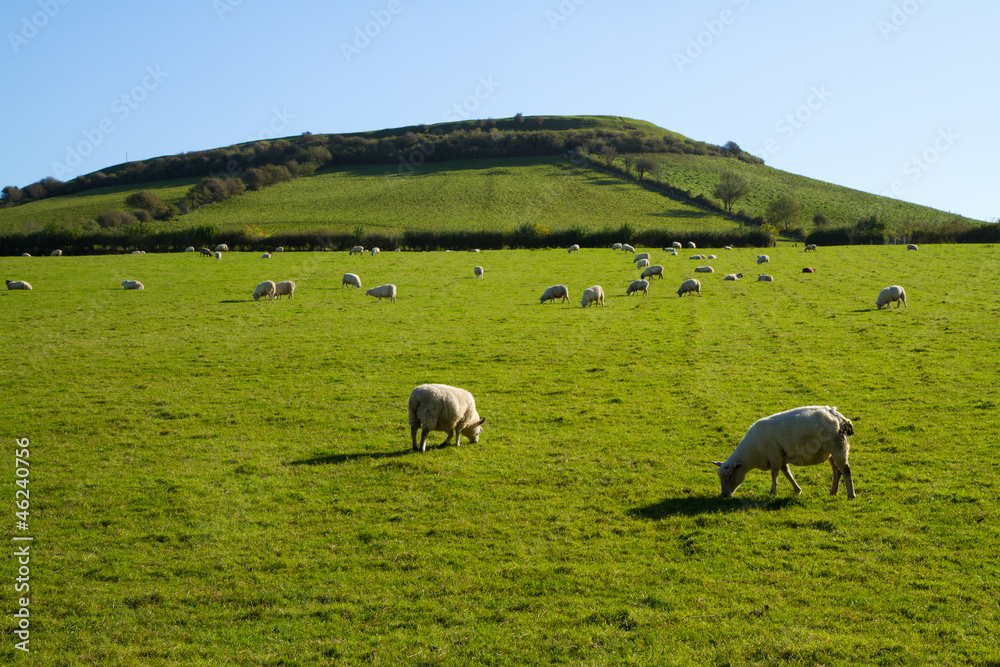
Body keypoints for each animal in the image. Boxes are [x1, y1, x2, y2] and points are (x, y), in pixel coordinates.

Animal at [716, 404, 856, 498]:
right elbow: (787, 474)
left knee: (846, 470)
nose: (724, 495)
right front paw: (797, 490)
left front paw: (772, 492)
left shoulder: (775, 457)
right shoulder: (781, 458)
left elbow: (774, 474)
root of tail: (837, 415)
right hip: (831, 451)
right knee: (837, 471)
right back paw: (833, 492)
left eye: (730, 476)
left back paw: (851, 495)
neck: (753, 452)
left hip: (839, 447)